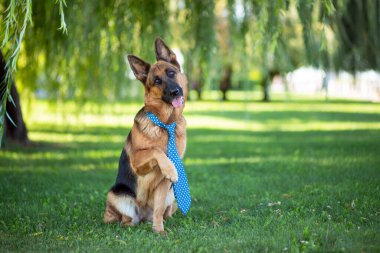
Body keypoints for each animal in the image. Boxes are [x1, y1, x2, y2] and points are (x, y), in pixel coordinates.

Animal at [103, 38, 188, 234]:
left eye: (171, 73)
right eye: (157, 81)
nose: (175, 92)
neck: (165, 123)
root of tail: (142, 216)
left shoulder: (163, 185)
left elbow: (158, 207)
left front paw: (159, 230)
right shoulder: (137, 161)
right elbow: (157, 150)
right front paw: (170, 168)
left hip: (171, 195)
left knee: (162, 211)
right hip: (116, 195)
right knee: (122, 219)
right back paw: (126, 224)